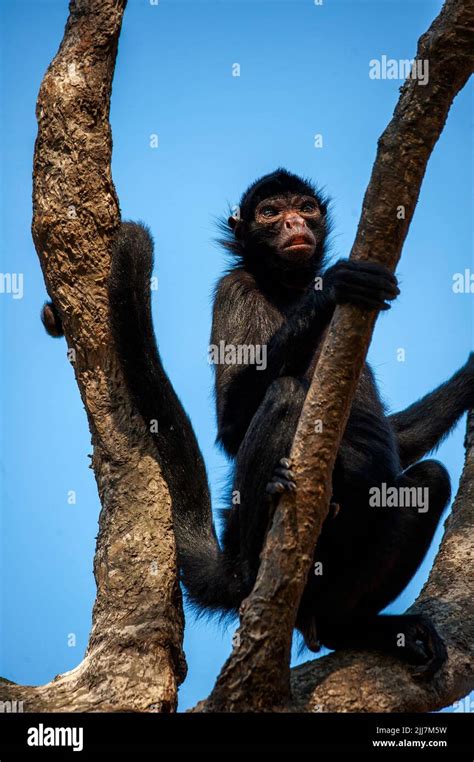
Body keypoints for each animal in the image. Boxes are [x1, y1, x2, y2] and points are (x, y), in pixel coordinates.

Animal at [42, 169, 472, 672]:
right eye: (269, 212)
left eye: (305, 207)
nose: (293, 223)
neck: (286, 288)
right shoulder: (234, 289)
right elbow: (231, 427)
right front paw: (332, 288)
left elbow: (398, 442)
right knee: (286, 393)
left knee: (430, 479)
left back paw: (347, 628)